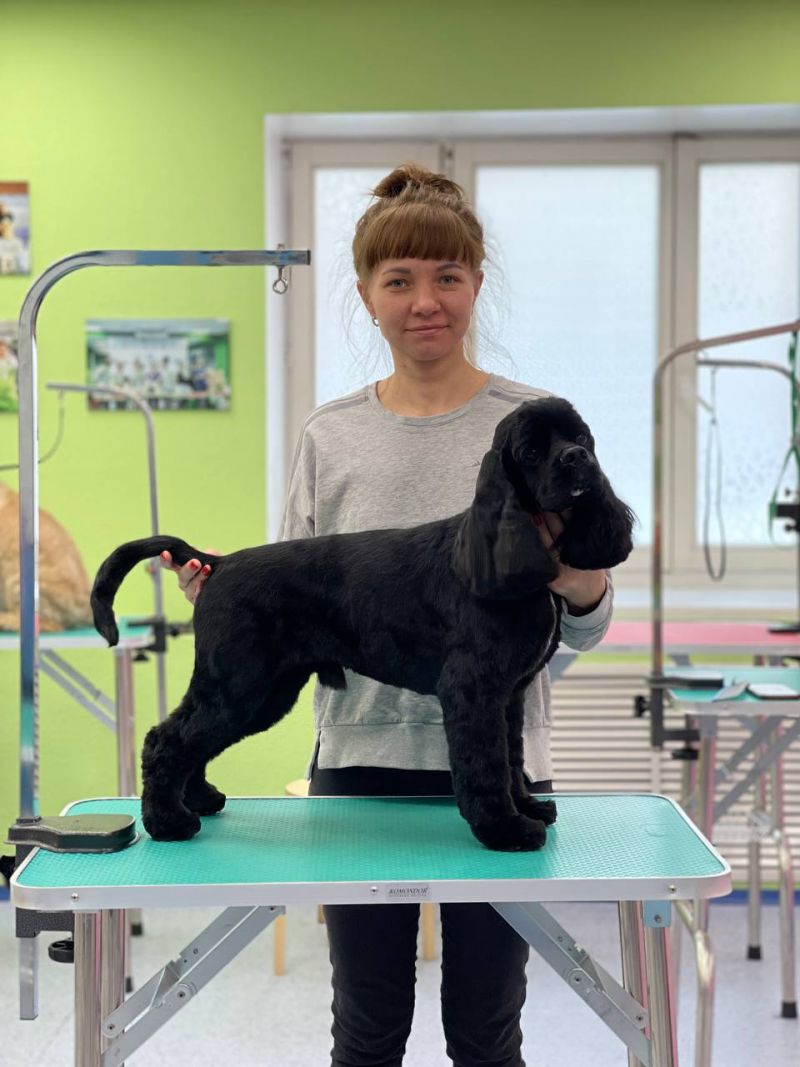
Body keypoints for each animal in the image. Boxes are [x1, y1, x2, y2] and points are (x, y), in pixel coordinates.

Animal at [92, 397, 634, 851]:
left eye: (580, 437)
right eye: (531, 450)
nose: (577, 461)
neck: (508, 550)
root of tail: (218, 564)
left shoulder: (510, 695)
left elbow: (513, 757)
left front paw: (528, 808)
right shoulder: (474, 690)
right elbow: (486, 765)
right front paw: (505, 829)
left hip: (260, 693)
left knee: (194, 739)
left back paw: (199, 799)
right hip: (239, 685)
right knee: (168, 739)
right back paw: (169, 821)